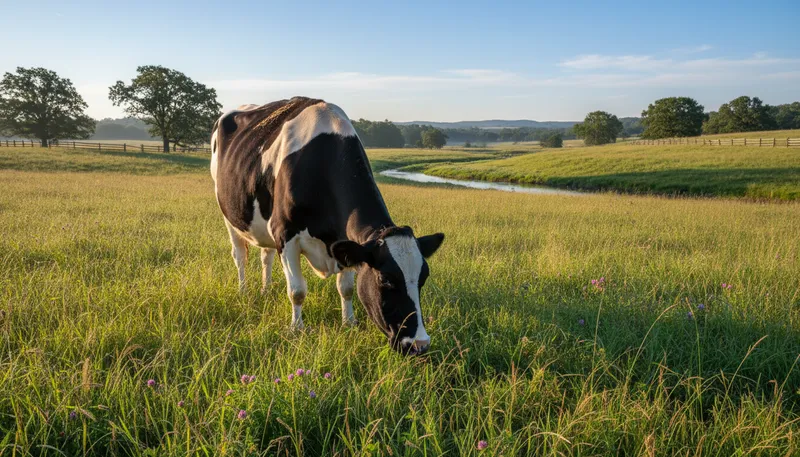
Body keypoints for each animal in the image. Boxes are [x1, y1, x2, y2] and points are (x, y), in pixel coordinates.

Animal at [210, 97, 444, 355]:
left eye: (423, 277)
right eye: (385, 279)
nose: (419, 344)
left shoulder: (344, 242)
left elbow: (346, 288)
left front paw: (349, 323)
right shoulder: (285, 234)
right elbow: (297, 291)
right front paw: (297, 329)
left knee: (266, 255)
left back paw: (266, 289)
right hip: (228, 215)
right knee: (240, 256)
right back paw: (244, 291)